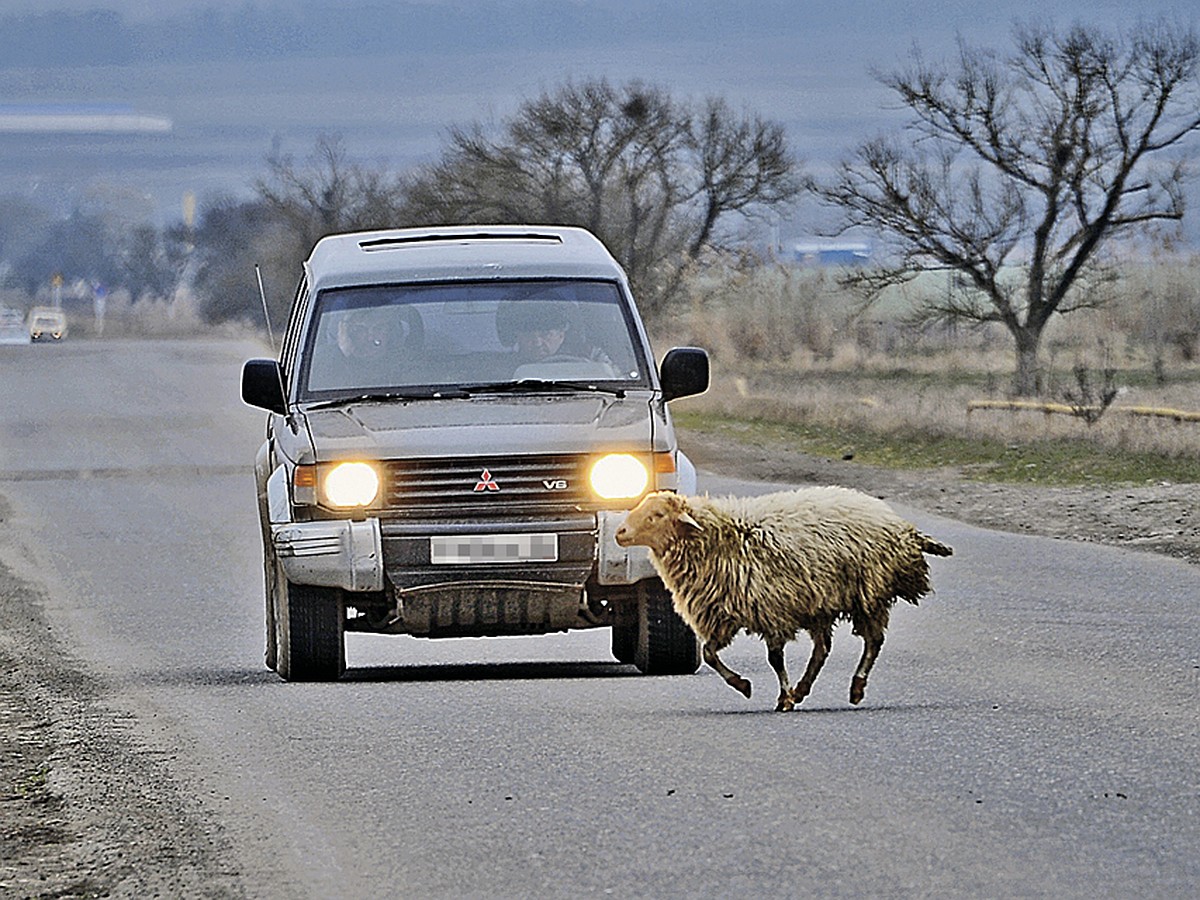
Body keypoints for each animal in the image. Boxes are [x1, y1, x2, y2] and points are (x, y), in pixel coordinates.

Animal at [614, 494, 950, 710]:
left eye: (657, 515)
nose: (620, 532)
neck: (721, 538)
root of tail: (903, 527)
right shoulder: (725, 612)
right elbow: (709, 654)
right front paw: (746, 686)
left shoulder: (771, 609)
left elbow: (774, 659)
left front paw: (782, 697)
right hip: (822, 603)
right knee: (823, 649)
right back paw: (805, 689)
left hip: (870, 593)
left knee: (873, 641)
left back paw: (855, 687)